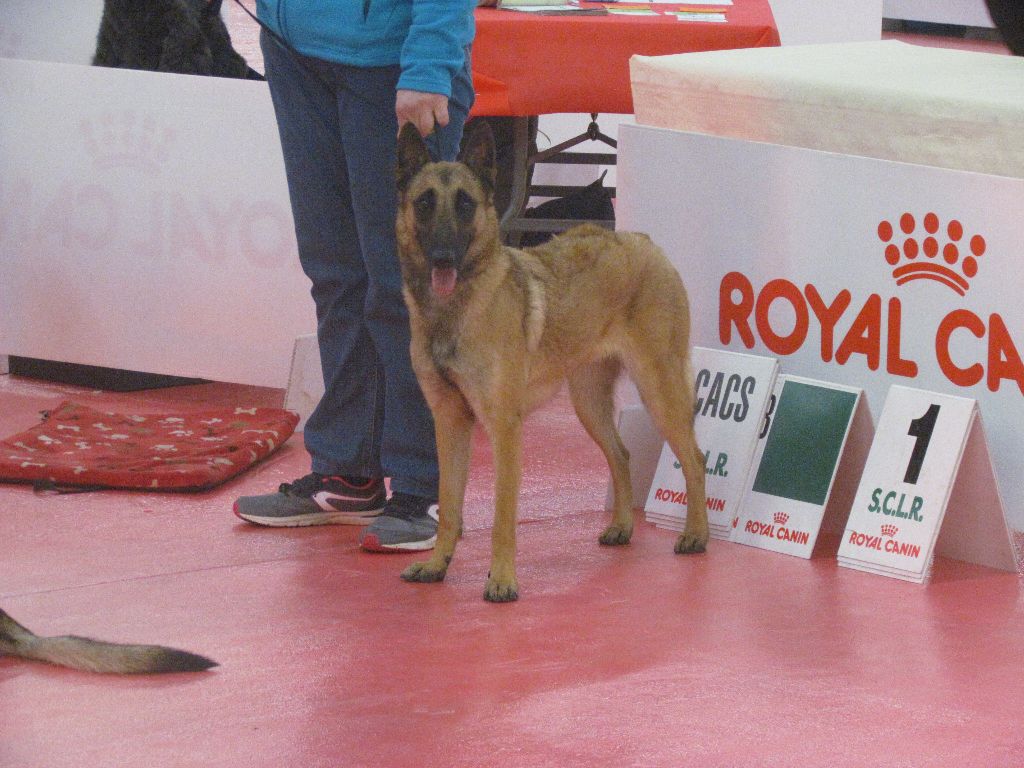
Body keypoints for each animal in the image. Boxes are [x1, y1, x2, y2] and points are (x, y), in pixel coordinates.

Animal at [389, 120, 704, 606]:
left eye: (465, 204)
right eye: (424, 203)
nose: (443, 257)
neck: (455, 311)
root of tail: (642, 241)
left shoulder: (504, 430)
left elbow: (502, 517)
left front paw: (502, 579)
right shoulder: (450, 423)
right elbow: (450, 507)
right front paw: (437, 564)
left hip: (660, 391)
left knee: (695, 458)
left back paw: (697, 535)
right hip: (589, 404)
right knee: (622, 454)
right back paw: (622, 526)